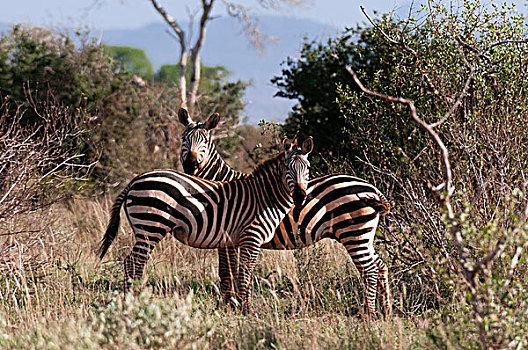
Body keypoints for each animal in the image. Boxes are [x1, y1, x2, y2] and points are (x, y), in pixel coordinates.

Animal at [98, 133, 312, 312]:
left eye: (308, 169)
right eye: (287, 168)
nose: (300, 196)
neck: (265, 198)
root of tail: (134, 180)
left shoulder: (235, 240)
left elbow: (238, 272)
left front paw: (236, 305)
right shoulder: (251, 237)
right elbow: (246, 273)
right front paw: (247, 309)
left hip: (145, 229)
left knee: (131, 262)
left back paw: (131, 300)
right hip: (151, 227)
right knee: (134, 262)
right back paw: (133, 301)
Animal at [177, 108, 392, 318]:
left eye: (205, 141)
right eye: (183, 138)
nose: (190, 163)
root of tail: (373, 188)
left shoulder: (228, 236)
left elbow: (228, 272)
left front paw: (229, 305)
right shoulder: (231, 238)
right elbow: (229, 271)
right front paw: (230, 304)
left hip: (354, 234)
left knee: (369, 270)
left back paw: (369, 314)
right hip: (364, 235)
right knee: (380, 266)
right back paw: (386, 310)